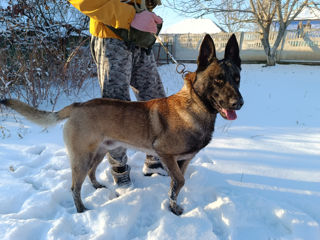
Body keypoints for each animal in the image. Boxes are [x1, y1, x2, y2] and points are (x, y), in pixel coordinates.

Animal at [1, 34, 244, 216]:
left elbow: (176, 187)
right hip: (81, 157)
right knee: (74, 186)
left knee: (91, 173)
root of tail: (77, 105)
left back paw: (98, 187)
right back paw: (81, 210)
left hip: (98, 153)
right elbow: (179, 182)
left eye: (237, 78)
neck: (195, 106)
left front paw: (173, 206)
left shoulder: (182, 161)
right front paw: (173, 208)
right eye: (218, 79)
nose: (239, 103)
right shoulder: (166, 155)